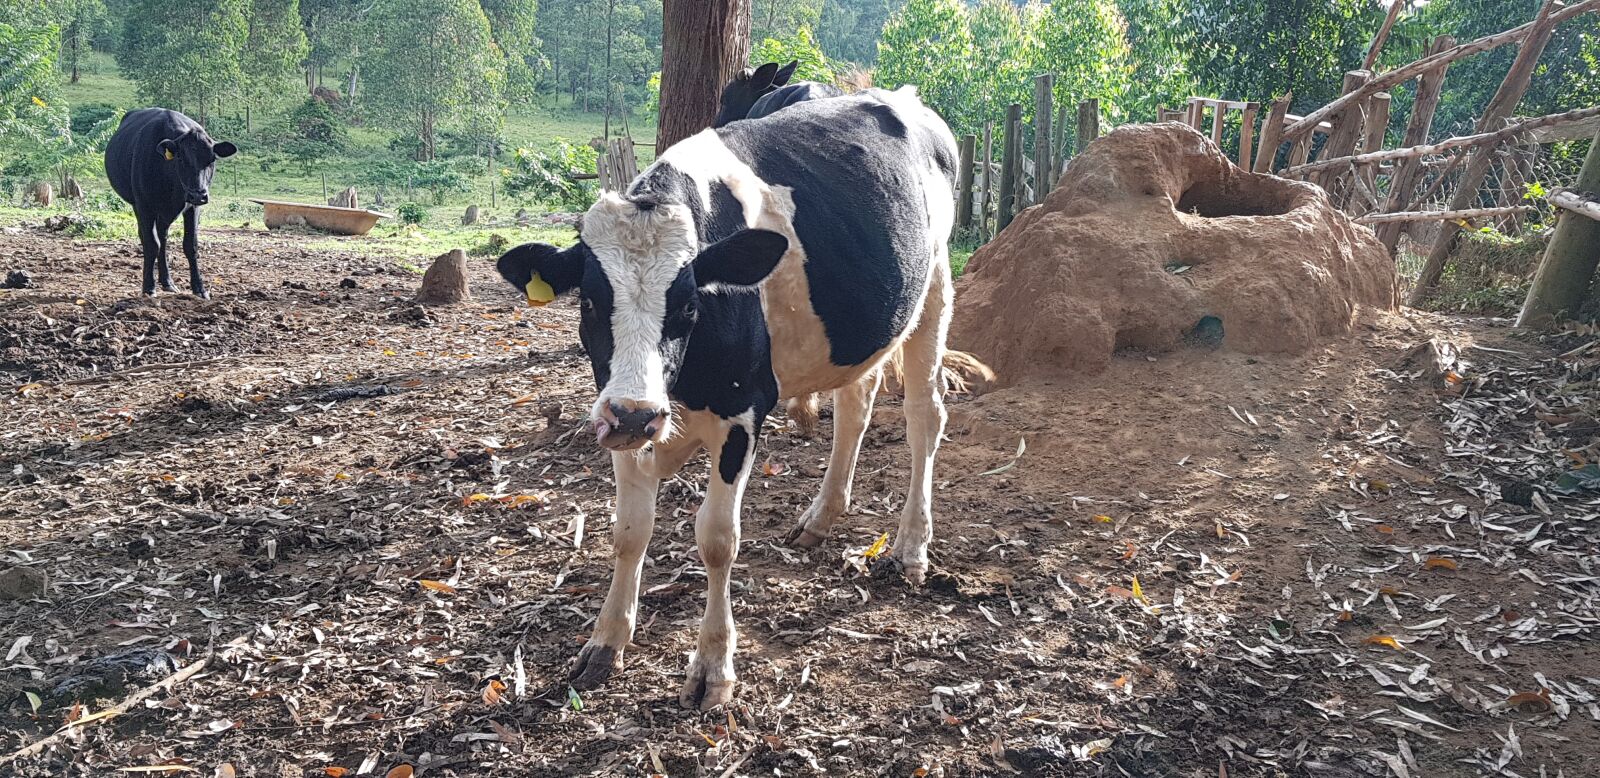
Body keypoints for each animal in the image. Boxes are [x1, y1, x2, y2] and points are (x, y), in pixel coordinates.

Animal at [104, 108, 237, 299]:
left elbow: (190, 245)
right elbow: (152, 244)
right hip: (139, 206)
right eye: (181, 159)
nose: (198, 194)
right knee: (148, 238)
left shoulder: (193, 208)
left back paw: (167, 281)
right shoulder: (144, 205)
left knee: (163, 237)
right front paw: (148, 287)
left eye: (212, 160)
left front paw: (199, 288)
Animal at [496, 87, 964, 709]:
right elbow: (628, 532)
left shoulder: (743, 414)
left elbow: (717, 540)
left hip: (934, 287)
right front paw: (606, 640)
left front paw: (713, 666)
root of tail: (900, 96)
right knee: (855, 406)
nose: (637, 415)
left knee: (923, 417)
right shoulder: (619, 417)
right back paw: (821, 517)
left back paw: (911, 547)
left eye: (689, 304)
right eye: (590, 302)